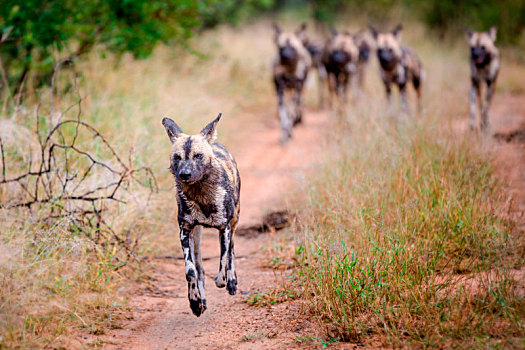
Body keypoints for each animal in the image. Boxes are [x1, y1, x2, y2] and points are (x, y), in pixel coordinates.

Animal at [161, 113, 241, 316]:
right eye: (177, 157)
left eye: (198, 156)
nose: (184, 174)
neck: (201, 195)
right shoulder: (185, 231)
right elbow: (191, 272)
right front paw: (195, 302)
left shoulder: (224, 228)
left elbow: (223, 261)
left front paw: (224, 281)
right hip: (196, 235)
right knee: (199, 267)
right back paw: (201, 299)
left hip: (235, 221)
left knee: (232, 250)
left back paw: (232, 282)